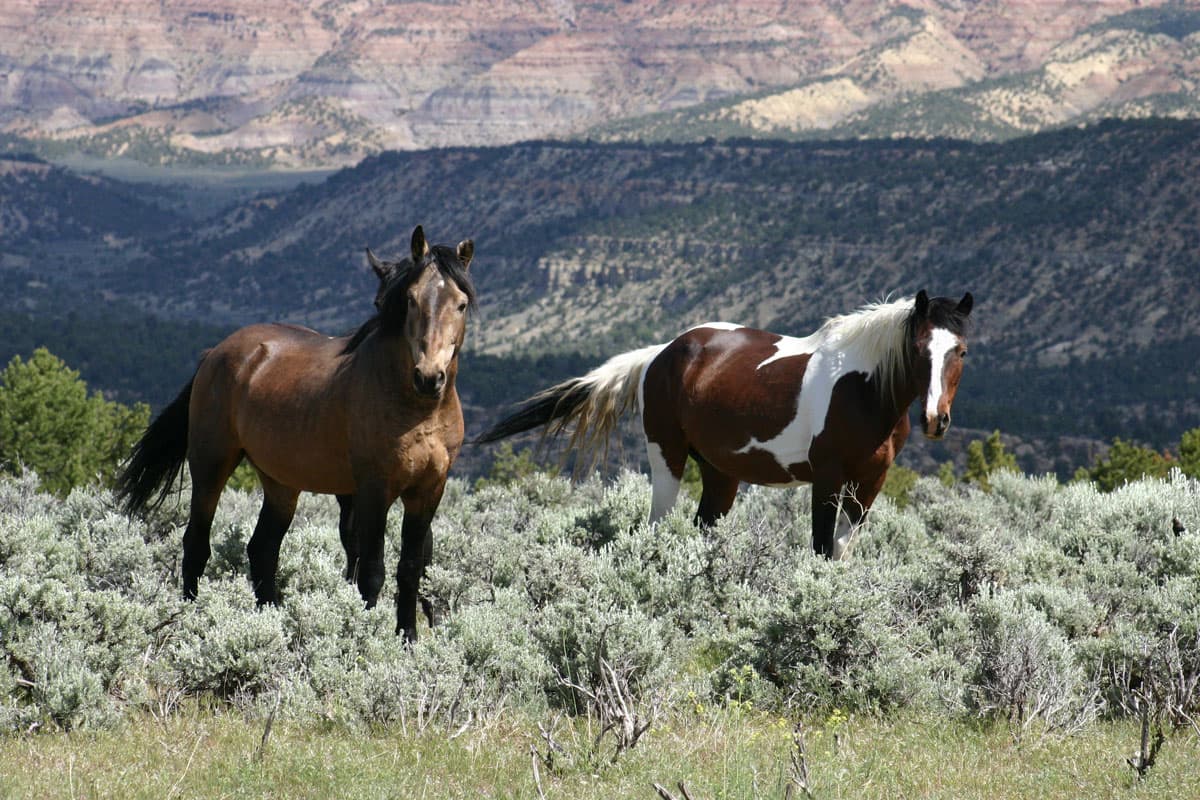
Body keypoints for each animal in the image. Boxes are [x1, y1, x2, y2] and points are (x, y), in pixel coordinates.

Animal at [116, 225, 476, 640]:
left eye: (461, 304)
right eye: (412, 300)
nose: (429, 377)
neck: (417, 411)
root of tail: (215, 353)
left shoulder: (428, 491)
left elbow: (412, 569)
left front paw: (410, 641)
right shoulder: (373, 490)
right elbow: (371, 571)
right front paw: (367, 637)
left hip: (280, 484)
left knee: (262, 549)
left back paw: (271, 622)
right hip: (211, 465)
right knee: (197, 544)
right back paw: (192, 619)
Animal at [479, 291, 972, 559]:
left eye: (961, 350)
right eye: (918, 348)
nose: (935, 420)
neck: (864, 389)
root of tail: (662, 352)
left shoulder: (869, 484)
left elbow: (840, 553)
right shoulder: (827, 479)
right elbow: (819, 549)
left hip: (720, 474)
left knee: (702, 526)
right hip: (667, 458)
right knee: (656, 525)